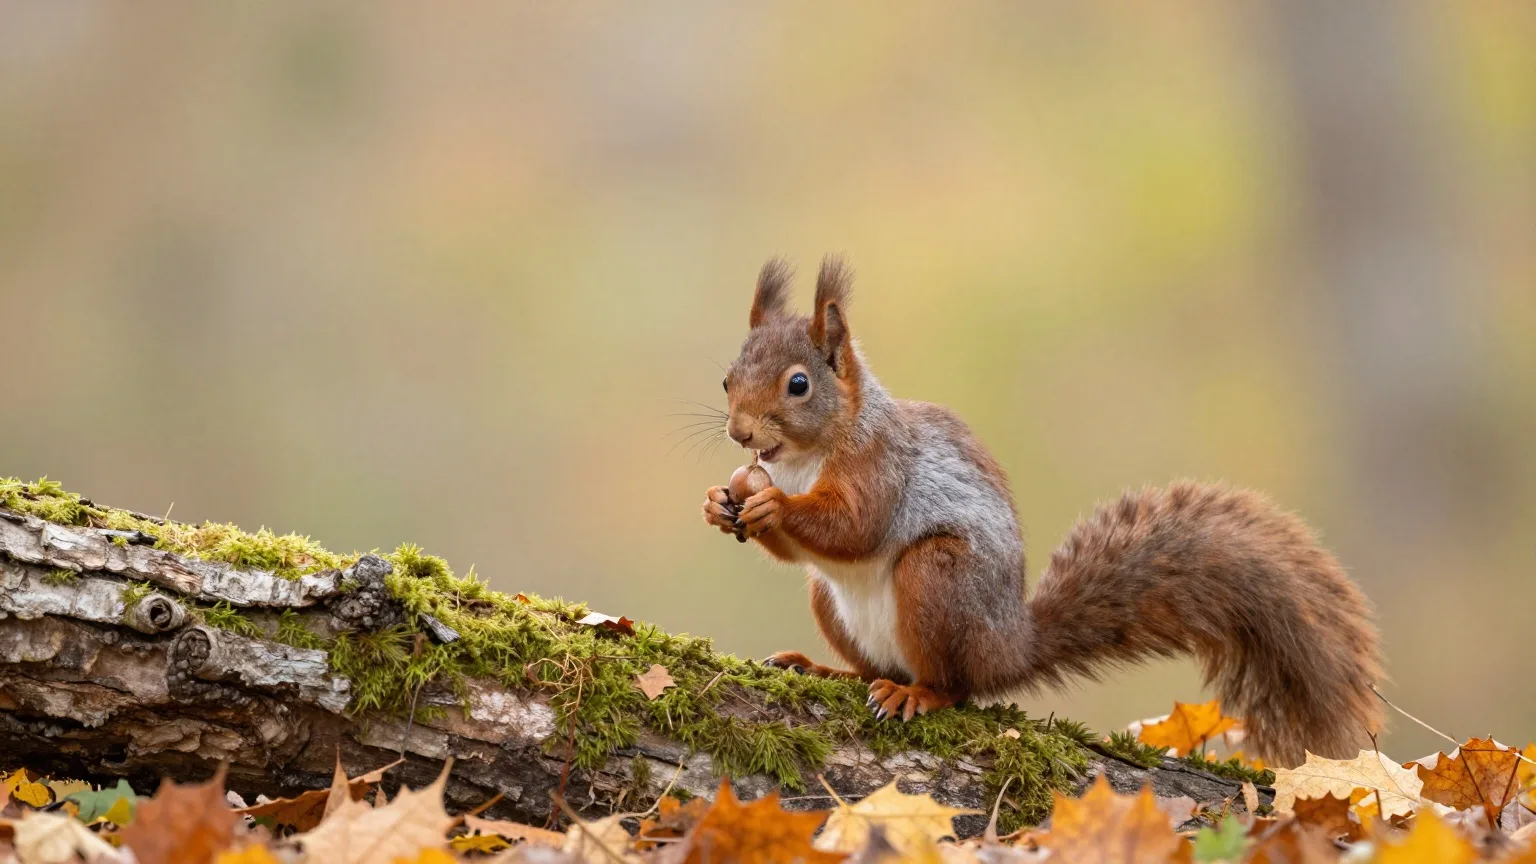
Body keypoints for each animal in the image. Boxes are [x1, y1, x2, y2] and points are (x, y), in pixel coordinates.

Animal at [700, 256, 1385, 768]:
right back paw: (826, 670)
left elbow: (854, 527)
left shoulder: (880, 465)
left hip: (938, 579)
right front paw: (719, 503)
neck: (806, 456)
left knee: (955, 685)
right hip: (830, 600)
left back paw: (913, 694)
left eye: (798, 385)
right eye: (727, 380)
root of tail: (1009, 645)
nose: (739, 433)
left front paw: (770, 503)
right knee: (868, 661)